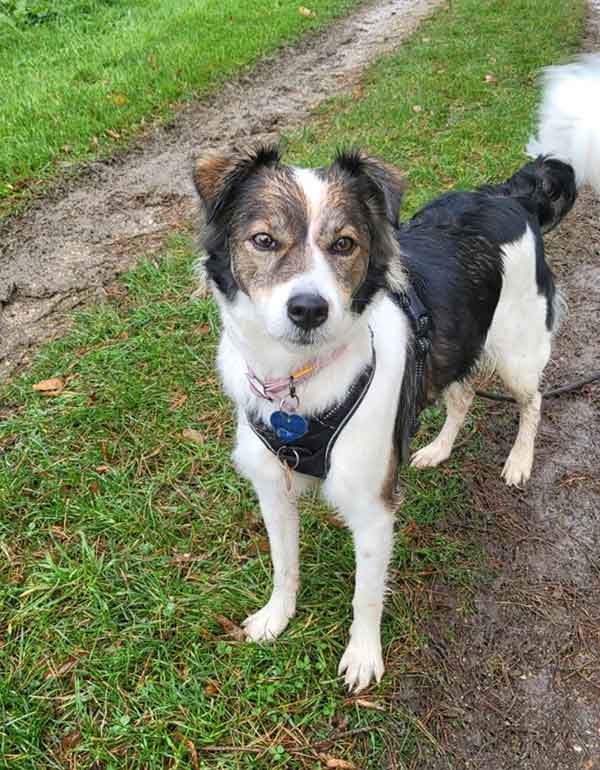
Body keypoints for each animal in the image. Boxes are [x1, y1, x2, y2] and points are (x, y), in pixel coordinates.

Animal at [192, 55, 600, 688]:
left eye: (344, 244)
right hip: (456, 344)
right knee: (461, 396)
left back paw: (519, 461)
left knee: (532, 401)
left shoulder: (373, 506)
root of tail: (509, 193)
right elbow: (284, 564)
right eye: (263, 240)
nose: (308, 309)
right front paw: (276, 618)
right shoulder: (272, 485)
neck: (298, 382)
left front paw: (363, 657)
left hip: (517, 348)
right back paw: (437, 448)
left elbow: (366, 594)